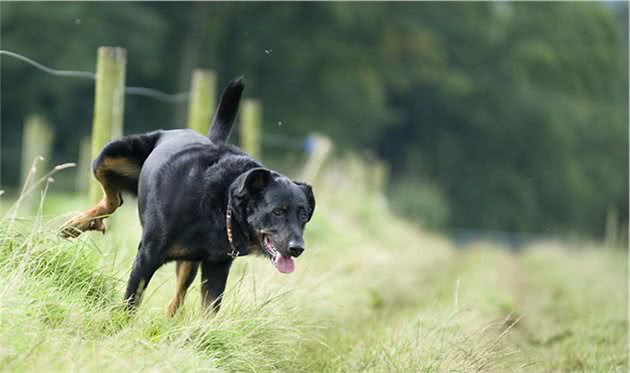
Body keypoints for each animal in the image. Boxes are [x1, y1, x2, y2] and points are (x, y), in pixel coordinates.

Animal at [63, 77, 316, 314]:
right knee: (112, 196)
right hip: (110, 154)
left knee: (175, 301)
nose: (297, 248)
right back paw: (78, 224)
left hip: (189, 264)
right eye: (278, 211)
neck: (221, 204)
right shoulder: (147, 256)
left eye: (304, 215)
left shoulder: (217, 266)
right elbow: (131, 301)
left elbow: (209, 310)